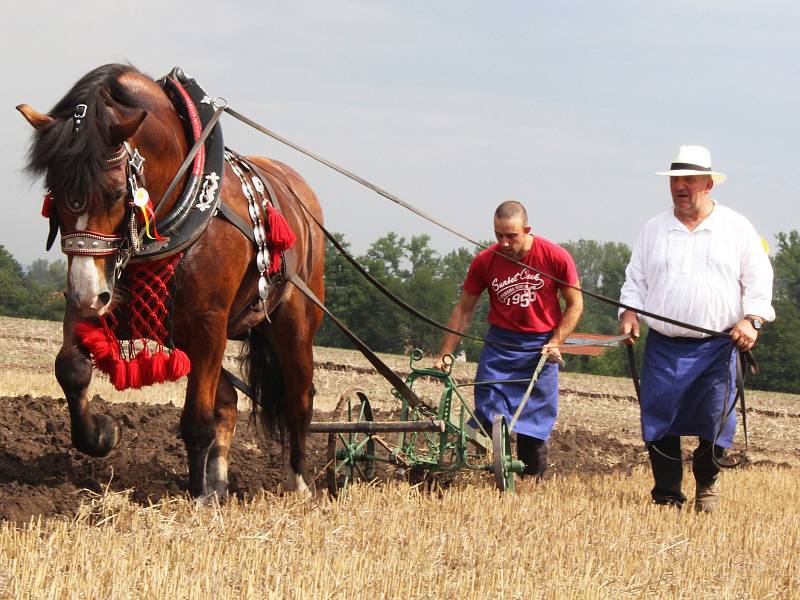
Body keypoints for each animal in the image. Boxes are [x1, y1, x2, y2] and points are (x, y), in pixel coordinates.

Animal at [18, 63, 324, 500]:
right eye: (54, 192)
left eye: (116, 193)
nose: (85, 294)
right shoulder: (101, 299)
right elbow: (70, 368)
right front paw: (102, 435)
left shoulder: (208, 324)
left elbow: (196, 419)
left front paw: (196, 496)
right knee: (228, 400)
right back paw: (220, 482)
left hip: (294, 324)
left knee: (298, 399)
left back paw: (296, 484)